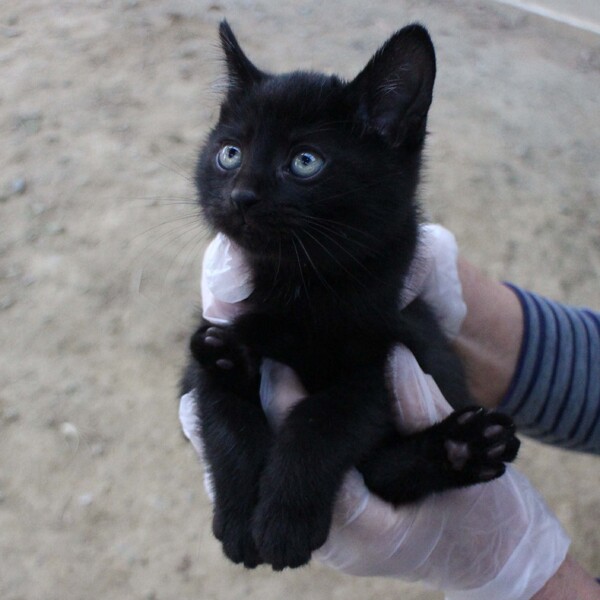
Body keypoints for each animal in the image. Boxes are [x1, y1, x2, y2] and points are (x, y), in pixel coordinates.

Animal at [181, 21, 520, 571]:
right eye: (229, 153)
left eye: (305, 162)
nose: (240, 195)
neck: (301, 289)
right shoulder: (207, 339)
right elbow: (223, 414)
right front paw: (238, 517)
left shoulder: (380, 354)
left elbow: (320, 422)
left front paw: (284, 522)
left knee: (383, 474)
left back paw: (467, 447)